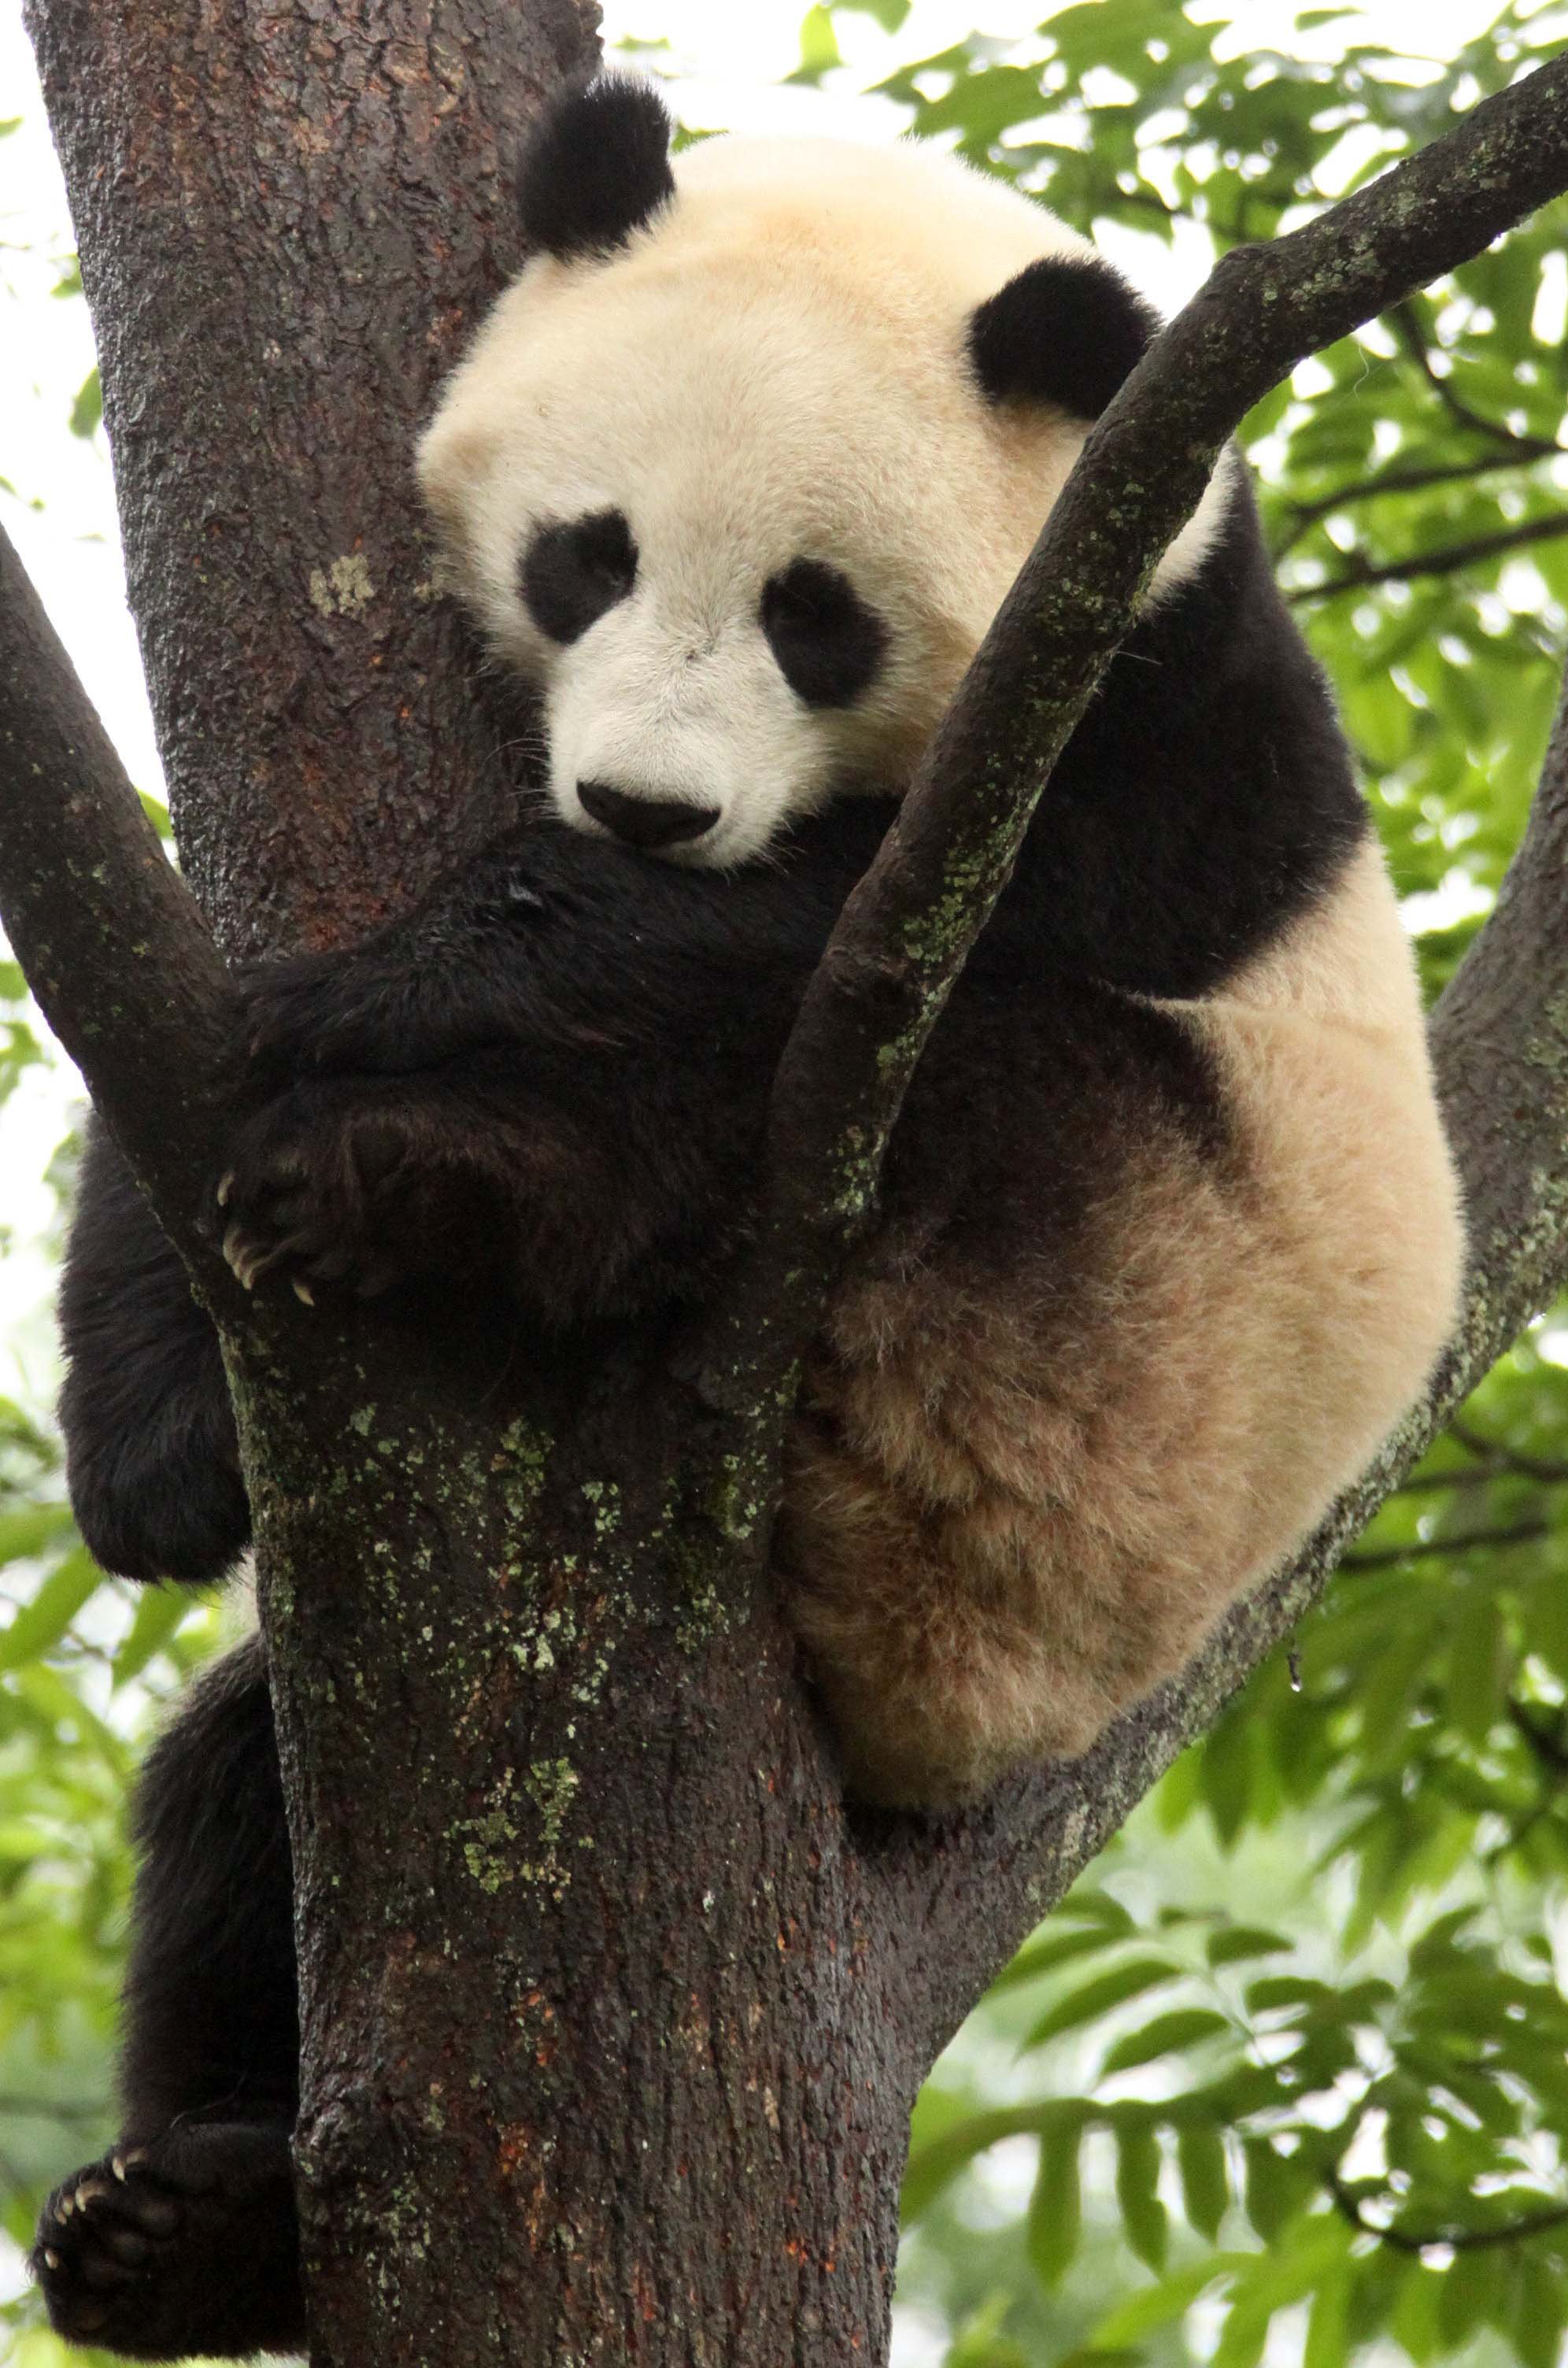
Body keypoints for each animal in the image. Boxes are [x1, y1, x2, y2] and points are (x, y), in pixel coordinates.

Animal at [34, 76, 1463, 2361]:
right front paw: (157, 1432)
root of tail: (943, 1710)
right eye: (587, 553)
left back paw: (451, 1190)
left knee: (911, 1074)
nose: (648, 804)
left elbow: (845, 924)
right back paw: (182, 2227)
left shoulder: (1147, 710)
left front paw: (408, 990)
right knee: (240, 1783)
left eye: (820, 613)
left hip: (1121, 1320)